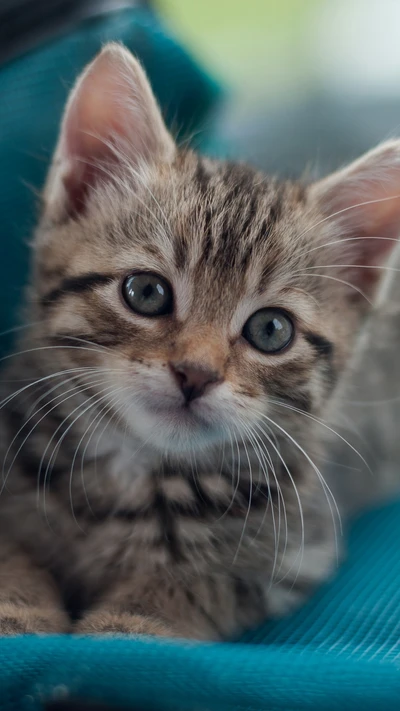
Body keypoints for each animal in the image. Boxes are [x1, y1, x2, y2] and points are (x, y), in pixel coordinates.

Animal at [0, 44, 400, 640]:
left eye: (271, 330)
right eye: (146, 292)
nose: (196, 373)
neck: (133, 473)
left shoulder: (298, 549)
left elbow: (204, 576)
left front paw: (131, 623)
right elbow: (11, 546)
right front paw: (18, 603)